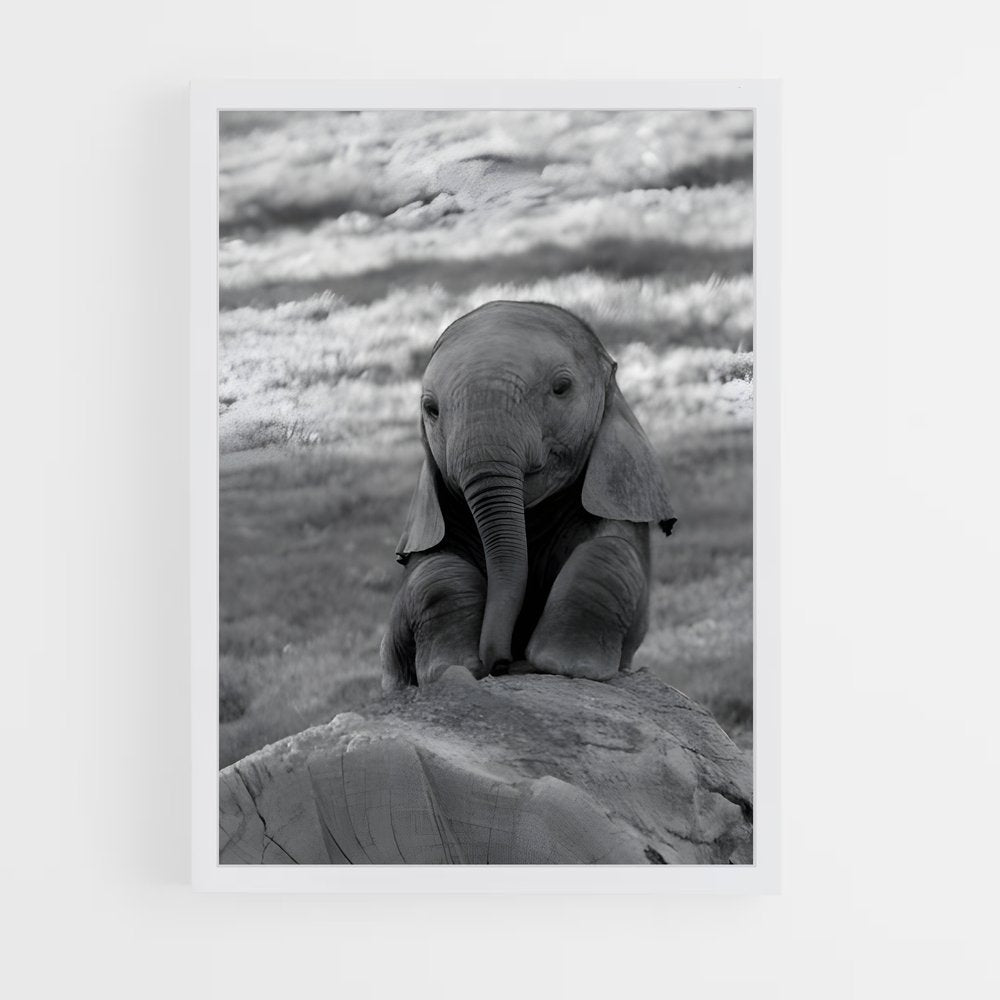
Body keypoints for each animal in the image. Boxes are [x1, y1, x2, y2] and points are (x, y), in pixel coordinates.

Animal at [380, 300, 677, 692]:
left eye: (561, 388)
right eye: (431, 409)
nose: (503, 662)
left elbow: (609, 554)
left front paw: (561, 665)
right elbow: (435, 573)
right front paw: (451, 671)